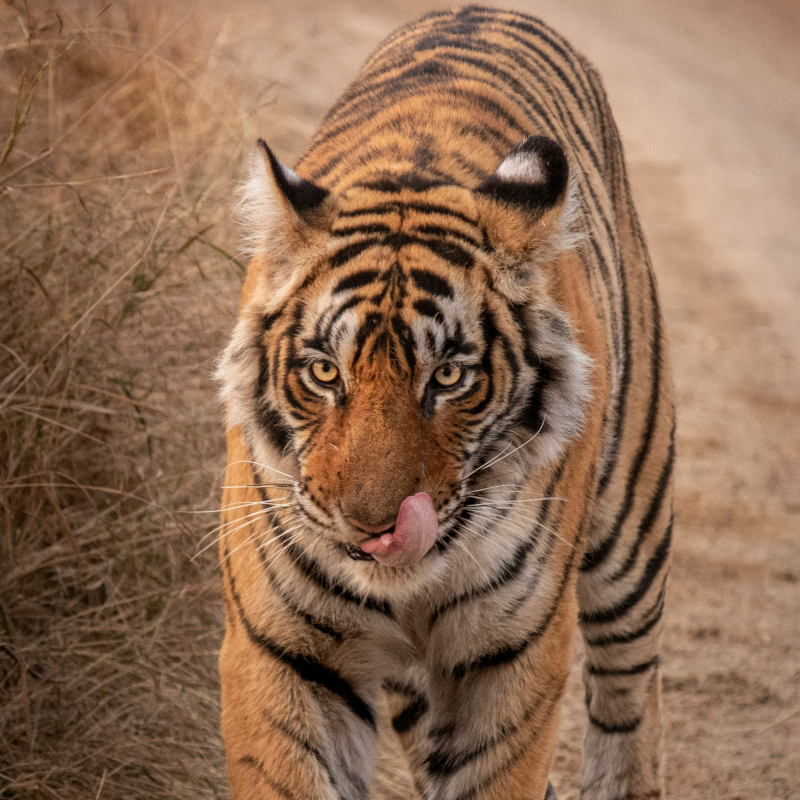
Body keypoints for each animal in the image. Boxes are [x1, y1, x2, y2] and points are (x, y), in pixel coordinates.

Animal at [216, 6, 674, 800]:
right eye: (325, 372)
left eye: (451, 377)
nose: (375, 529)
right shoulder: (281, 652)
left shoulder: (508, 659)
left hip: (631, 539)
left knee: (627, 701)